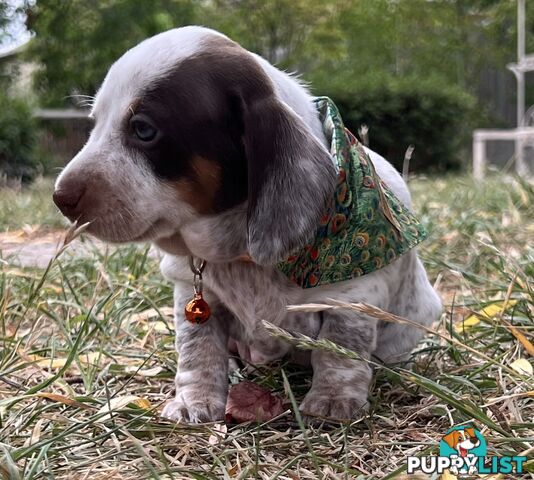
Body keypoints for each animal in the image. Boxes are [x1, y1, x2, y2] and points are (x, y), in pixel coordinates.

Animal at [53, 27, 444, 424]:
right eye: (94, 123)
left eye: (144, 129)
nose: (59, 198)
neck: (239, 254)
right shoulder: (193, 295)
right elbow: (197, 350)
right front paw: (194, 400)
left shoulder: (352, 298)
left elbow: (339, 349)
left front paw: (334, 400)